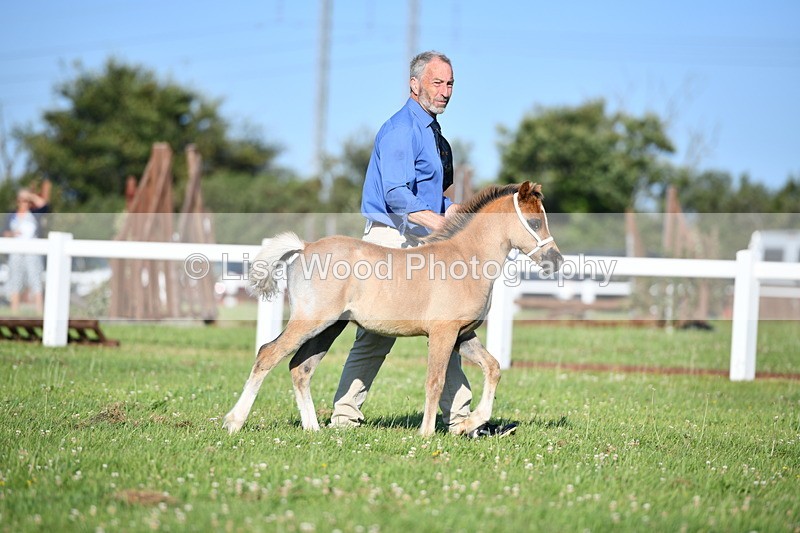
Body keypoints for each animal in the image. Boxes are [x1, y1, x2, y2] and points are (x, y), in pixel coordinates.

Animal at [223, 181, 563, 437]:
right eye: (535, 222)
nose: (555, 261)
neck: (466, 259)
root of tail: (305, 247)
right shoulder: (443, 333)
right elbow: (435, 381)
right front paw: (427, 434)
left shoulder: (462, 335)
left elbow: (492, 368)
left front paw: (469, 423)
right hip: (310, 321)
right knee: (268, 354)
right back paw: (234, 422)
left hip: (329, 327)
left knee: (300, 368)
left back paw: (313, 428)